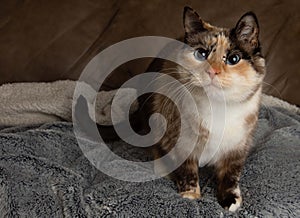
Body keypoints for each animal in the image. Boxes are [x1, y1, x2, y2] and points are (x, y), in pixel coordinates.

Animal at [150, 6, 264, 211]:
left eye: (234, 58)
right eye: (201, 54)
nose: (212, 71)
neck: (218, 108)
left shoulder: (238, 146)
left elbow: (230, 176)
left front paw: (230, 201)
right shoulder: (180, 141)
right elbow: (187, 172)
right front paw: (191, 196)